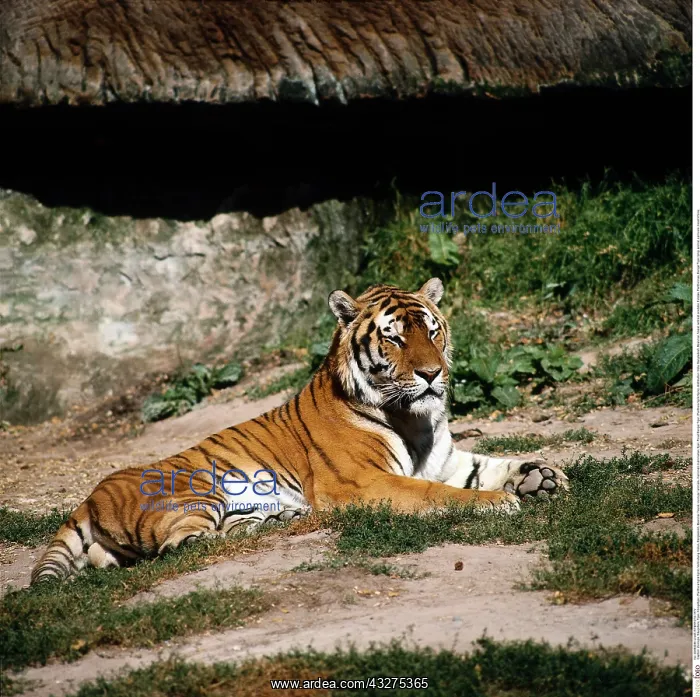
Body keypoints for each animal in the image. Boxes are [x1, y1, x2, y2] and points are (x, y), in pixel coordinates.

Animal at [32, 278, 569, 583]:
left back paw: (281, 519)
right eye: (395, 338)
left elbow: (490, 465)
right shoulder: (362, 482)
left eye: (431, 331)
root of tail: (90, 496)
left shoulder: (447, 460)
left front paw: (541, 477)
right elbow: (438, 494)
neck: (415, 420)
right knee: (175, 547)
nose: (433, 373)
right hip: (195, 493)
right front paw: (498, 502)